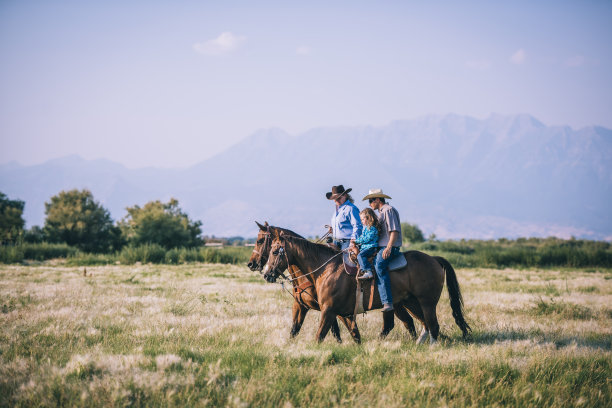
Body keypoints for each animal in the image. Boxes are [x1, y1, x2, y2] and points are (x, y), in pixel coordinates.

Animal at [260, 231, 470, 342]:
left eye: (275, 250)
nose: (266, 273)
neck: (326, 269)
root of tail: (434, 259)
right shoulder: (342, 313)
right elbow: (354, 335)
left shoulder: (328, 310)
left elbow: (320, 335)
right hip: (410, 303)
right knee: (420, 324)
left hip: (427, 303)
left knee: (432, 325)